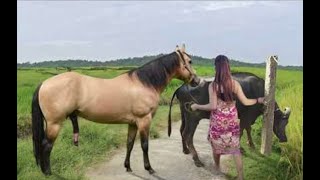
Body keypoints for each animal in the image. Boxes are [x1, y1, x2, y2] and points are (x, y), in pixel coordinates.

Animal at [30, 44, 200, 175]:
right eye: (189, 61)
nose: (197, 81)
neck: (144, 83)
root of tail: (44, 83)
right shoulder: (144, 120)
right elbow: (144, 145)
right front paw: (149, 168)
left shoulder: (133, 123)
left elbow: (130, 143)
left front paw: (128, 167)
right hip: (54, 124)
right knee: (46, 146)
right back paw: (47, 172)